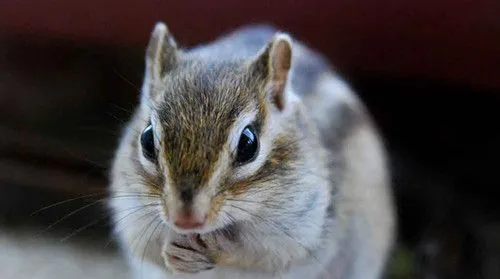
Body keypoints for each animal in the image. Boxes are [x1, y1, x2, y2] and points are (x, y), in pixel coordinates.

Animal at [108, 22, 394, 279]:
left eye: (248, 144)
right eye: (147, 139)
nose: (186, 220)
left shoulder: (299, 228)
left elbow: (263, 255)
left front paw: (219, 245)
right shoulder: (132, 215)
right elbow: (149, 248)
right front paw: (173, 253)